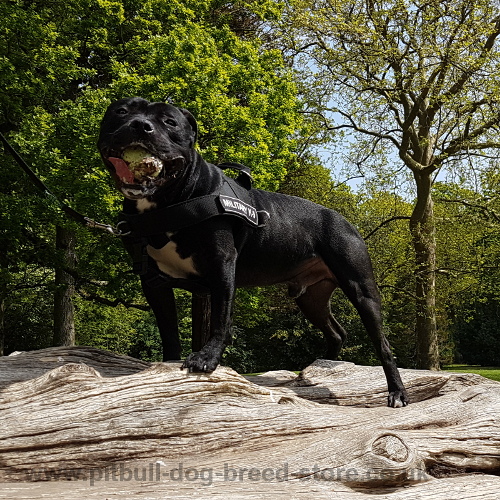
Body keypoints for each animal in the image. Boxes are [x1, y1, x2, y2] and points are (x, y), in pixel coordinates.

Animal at [98, 96, 410, 406]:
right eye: (121, 111)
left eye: (170, 122)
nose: (140, 125)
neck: (168, 204)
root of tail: (345, 220)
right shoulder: (153, 280)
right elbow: (168, 329)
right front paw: (167, 365)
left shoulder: (222, 266)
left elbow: (220, 319)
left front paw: (206, 358)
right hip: (311, 298)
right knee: (336, 333)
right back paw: (318, 370)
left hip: (360, 288)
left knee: (382, 344)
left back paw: (396, 392)